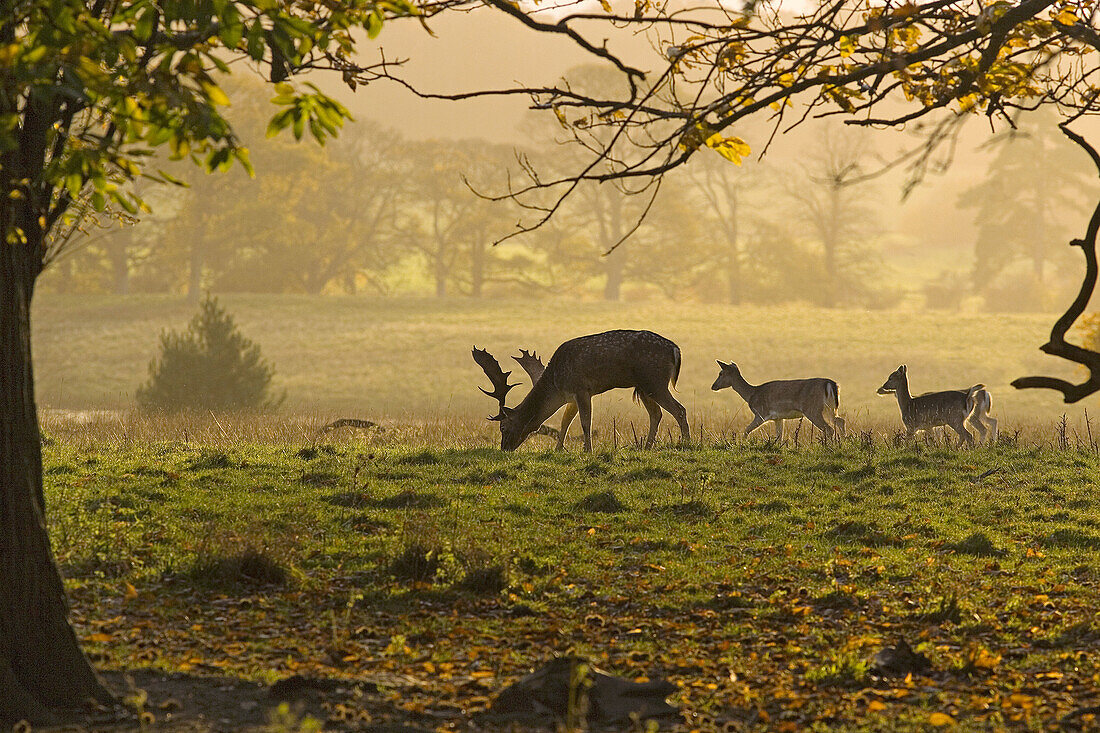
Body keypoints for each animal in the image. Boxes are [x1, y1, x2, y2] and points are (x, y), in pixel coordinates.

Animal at [470, 325, 686, 451]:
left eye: (503, 427)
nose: (504, 448)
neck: (556, 384)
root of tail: (676, 349)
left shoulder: (582, 389)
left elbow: (585, 422)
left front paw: (587, 450)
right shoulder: (571, 396)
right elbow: (565, 421)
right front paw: (558, 449)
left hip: (654, 381)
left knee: (679, 409)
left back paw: (687, 443)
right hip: (643, 387)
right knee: (656, 413)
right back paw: (647, 447)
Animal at [708, 358, 844, 440]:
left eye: (721, 373)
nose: (713, 386)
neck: (751, 395)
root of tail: (831, 384)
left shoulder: (761, 413)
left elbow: (746, 430)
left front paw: (741, 444)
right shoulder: (778, 418)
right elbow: (779, 437)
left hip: (813, 409)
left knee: (829, 429)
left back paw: (828, 446)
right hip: (830, 408)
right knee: (840, 421)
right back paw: (842, 442)